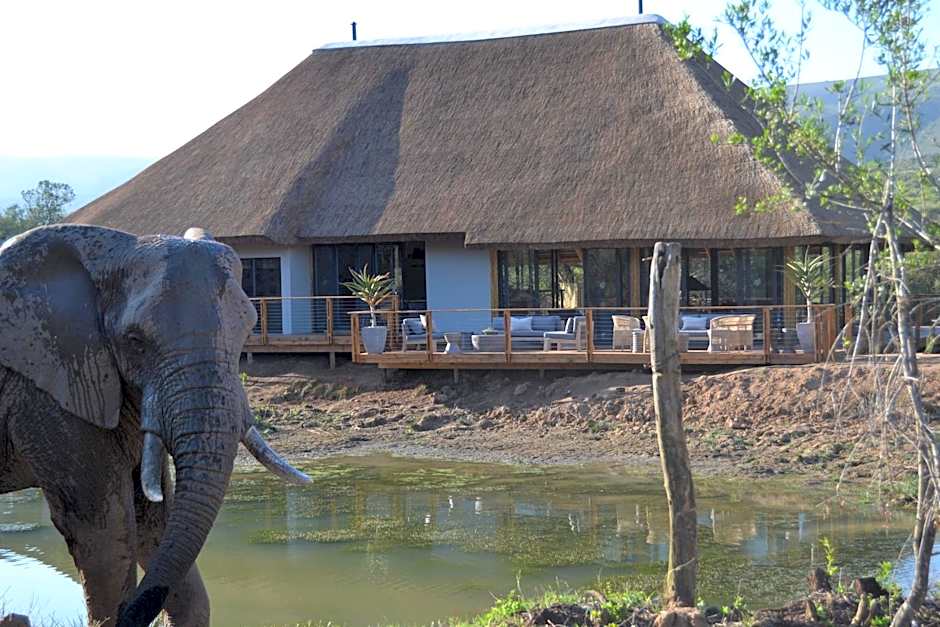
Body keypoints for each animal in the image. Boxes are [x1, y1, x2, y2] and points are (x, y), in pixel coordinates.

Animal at [0, 224, 311, 627]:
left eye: (248, 329)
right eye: (135, 342)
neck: (110, 251)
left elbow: (155, 520)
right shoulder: (47, 390)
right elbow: (105, 531)